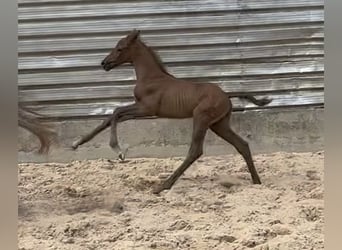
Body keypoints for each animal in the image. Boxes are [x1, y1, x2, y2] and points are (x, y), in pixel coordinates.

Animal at [71, 29, 270, 193]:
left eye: (120, 49)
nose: (104, 63)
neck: (151, 77)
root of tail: (226, 95)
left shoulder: (147, 108)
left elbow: (116, 112)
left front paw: (118, 150)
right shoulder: (140, 109)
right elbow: (113, 116)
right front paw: (76, 143)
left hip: (201, 119)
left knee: (195, 151)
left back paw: (162, 186)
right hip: (219, 124)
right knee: (242, 145)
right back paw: (257, 181)